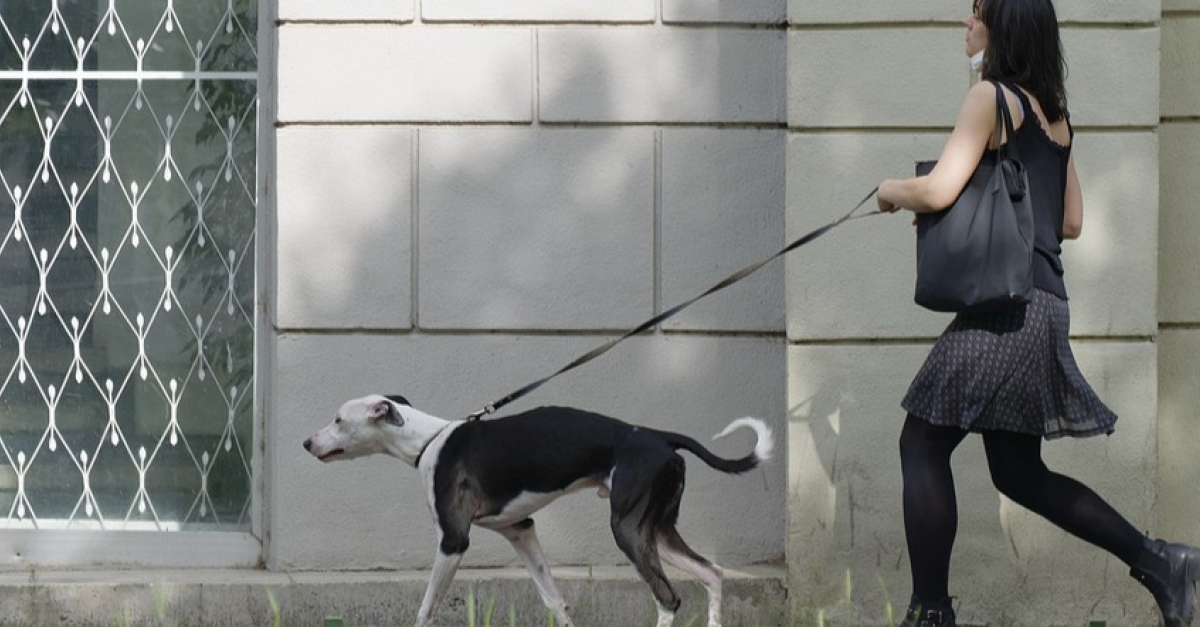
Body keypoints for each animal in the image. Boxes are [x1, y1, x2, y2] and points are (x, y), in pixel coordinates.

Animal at [298, 393, 768, 619]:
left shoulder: (453, 541)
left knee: (668, 599)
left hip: (630, 531)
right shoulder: (520, 530)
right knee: (711, 572)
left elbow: (427, 606)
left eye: (338, 419)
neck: (429, 440)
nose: (305, 442)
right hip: (659, 530)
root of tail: (658, 436)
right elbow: (555, 601)